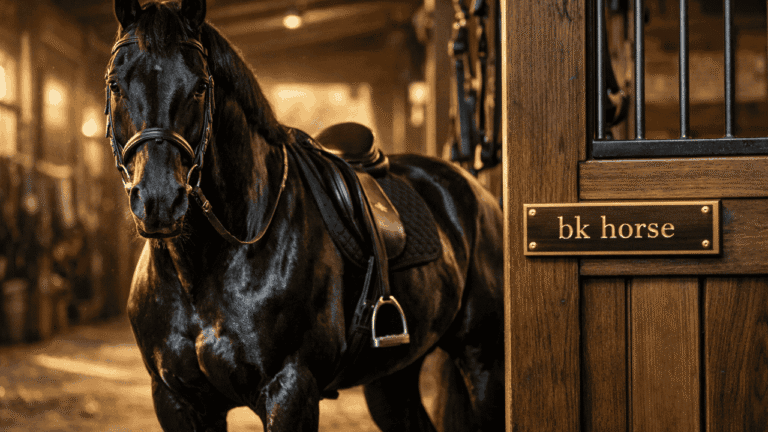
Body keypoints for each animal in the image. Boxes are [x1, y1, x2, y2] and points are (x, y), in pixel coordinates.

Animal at [105, 0, 504, 430]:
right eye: (116, 85)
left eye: (199, 87)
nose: (159, 200)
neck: (202, 269)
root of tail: (473, 189)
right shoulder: (176, 399)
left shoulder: (291, 389)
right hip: (391, 379)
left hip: (482, 361)